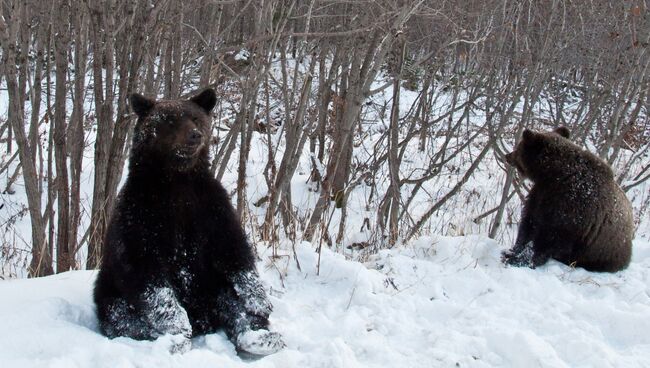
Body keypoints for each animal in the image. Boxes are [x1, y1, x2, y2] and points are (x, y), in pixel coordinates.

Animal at [93, 87, 284, 356]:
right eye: (169, 120)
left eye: (195, 118)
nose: (195, 135)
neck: (177, 180)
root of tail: (204, 321)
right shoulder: (140, 215)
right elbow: (147, 273)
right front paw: (176, 325)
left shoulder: (209, 207)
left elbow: (234, 251)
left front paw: (260, 300)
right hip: (109, 290)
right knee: (120, 317)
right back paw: (171, 340)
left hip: (213, 286)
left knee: (232, 302)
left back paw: (260, 336)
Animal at [502, 126, 632, 274]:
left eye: (519, 147)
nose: (507, 155)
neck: (554, 175)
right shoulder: (540, 195)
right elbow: (529, 223)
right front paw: (511, 251)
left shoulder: (572, 207)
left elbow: (549, 237)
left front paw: (522, 259)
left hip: (604, 251)